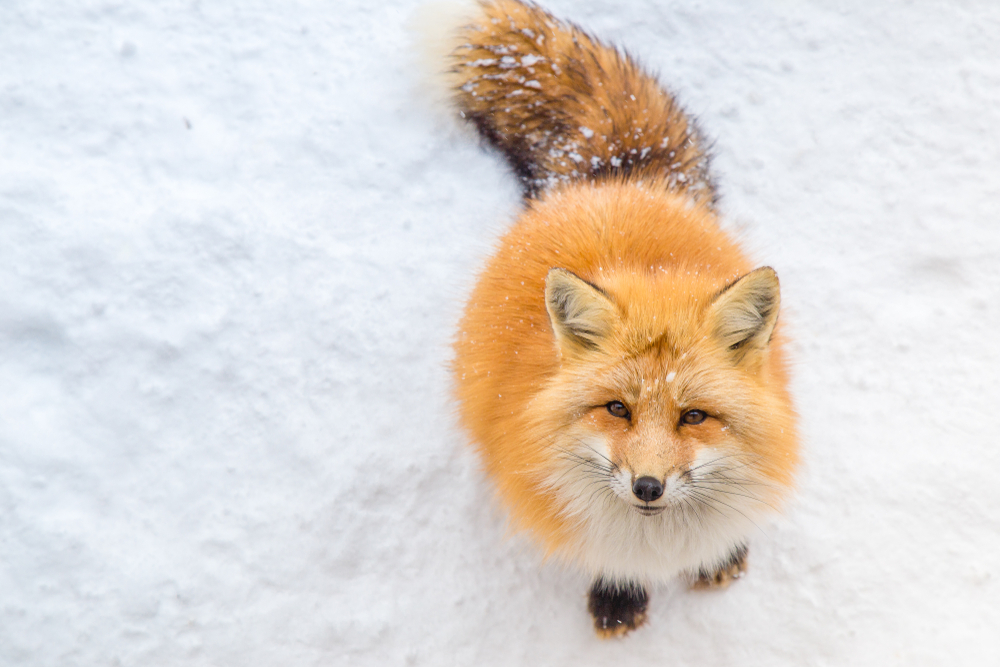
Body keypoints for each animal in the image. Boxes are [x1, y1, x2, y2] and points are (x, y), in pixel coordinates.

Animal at [444, 0, 799, 637]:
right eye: (616, 409)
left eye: (694, 416)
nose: (648, 487)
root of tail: (615, 179)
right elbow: (609, 559)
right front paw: (618, 592)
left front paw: (720, 553)